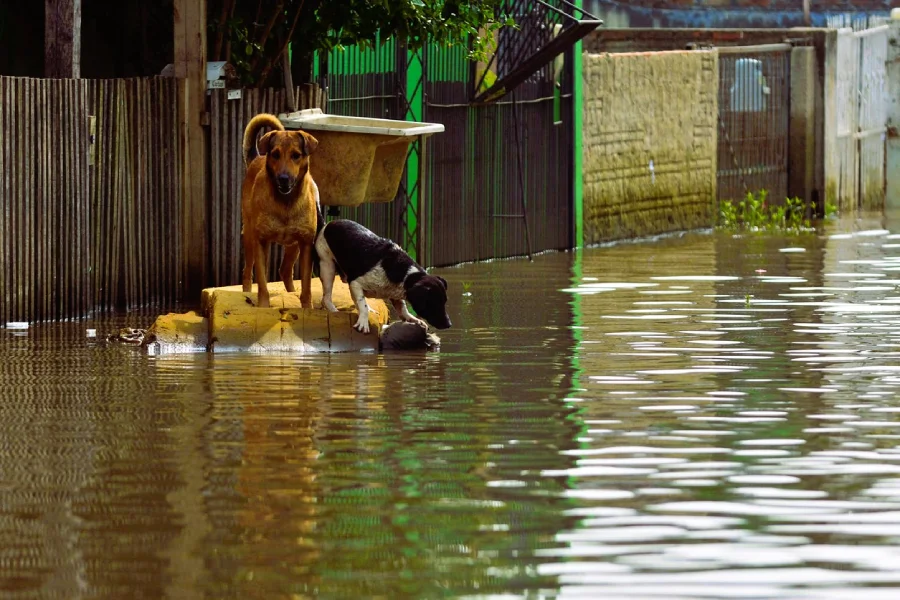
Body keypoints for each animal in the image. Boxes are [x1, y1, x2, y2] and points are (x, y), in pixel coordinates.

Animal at [241, 113, 322, 310]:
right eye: (276, 154)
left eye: (296, 155)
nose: (283, 178)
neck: (286, 202)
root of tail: (257, 158)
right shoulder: (261, 241)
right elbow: (262, 283)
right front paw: (263, 306)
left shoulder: (306, 244)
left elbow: (307, 285)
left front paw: (307, 308)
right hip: (249, 236)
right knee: (248, 271)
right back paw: (247, 292)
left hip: (294, 246)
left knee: (285, 270)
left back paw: (291, 292)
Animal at [314, 219, 454, 332]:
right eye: (433, 303)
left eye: (444, 301)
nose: (449, 325)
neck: (406, 275)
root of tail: (327, 224)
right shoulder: (355, 282)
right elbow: (362, 304)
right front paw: (363, 322)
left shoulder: (396, 295)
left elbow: (403, 309)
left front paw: (412, 319)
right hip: (327, 267)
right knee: (326, 297)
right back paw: (333, 310)